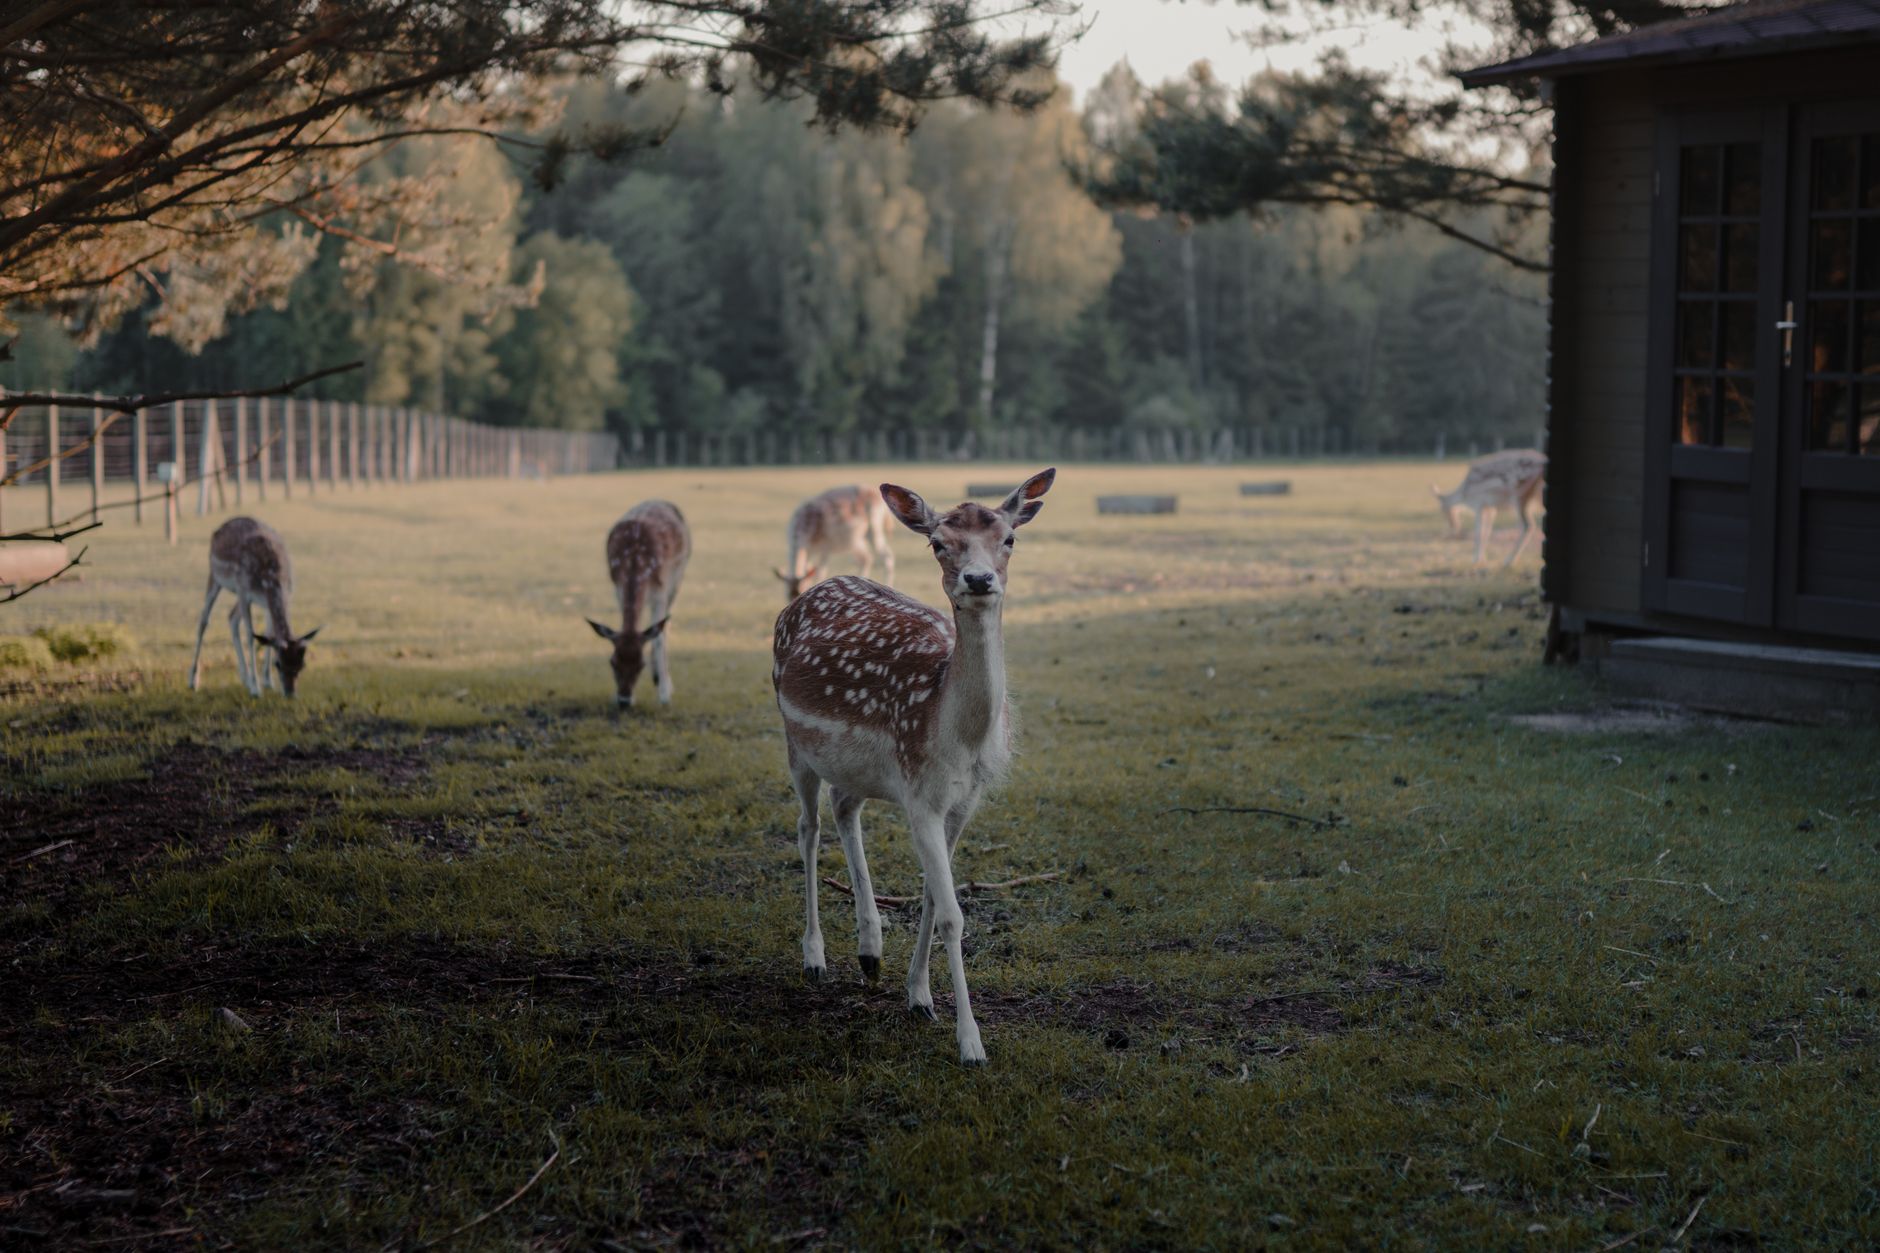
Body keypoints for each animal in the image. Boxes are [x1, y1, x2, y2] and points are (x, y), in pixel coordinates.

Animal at [187, 516, 320, 697]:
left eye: (302, 664)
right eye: (278, 664)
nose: (290, 694)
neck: (270, 579)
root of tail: (219, 528)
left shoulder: (274, 599)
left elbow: (269, 635)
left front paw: (268, 682)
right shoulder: (244, 592)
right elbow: (251, 636)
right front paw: (256, 689)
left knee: (232, 617)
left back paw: (244, 677)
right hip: (215, 576)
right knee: (203, 620)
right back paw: (193, 680)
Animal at [586, 500, 691, 708]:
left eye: (640, 665)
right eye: (612, 662)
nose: (624, 700)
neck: (634, 562)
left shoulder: (660, 590)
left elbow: (659, 638)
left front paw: (664, 695)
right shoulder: (618, 587)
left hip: (678, 576)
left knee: (665, 626)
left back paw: (663, 680)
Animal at [771, 468, 1056, 1066]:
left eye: (1010, 538)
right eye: (938, 543)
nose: (978, 579)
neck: (957, 736)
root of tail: (801, 597)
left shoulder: (965, 799)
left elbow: (931, 895)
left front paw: (919, 996)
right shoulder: (919, 794)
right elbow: (951, 913)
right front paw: (970, 1043)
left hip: (857, 769)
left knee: (843, 808)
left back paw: (870, 950)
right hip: (795, 741)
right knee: (808, 827)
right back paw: (815, 957)